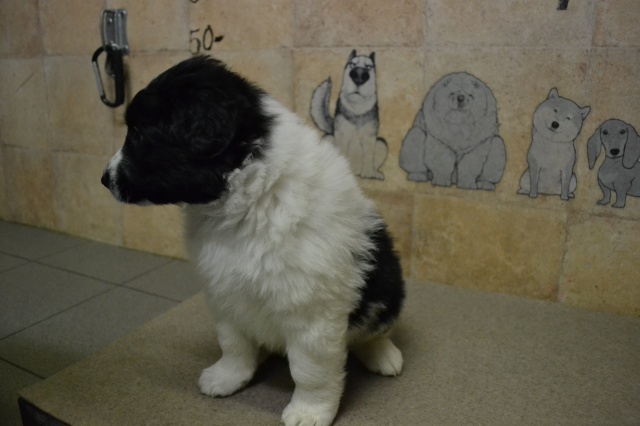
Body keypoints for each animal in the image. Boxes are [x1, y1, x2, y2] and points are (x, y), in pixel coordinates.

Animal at [310, 50, 387, 180]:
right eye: (352, 64)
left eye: (369, 67)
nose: (359, 75)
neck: (357, 109)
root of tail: (356, 172)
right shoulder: (342, 137)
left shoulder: (370, 138)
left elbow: (368, 157)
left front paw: (368, 174)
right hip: (328, 139)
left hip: (382, 144)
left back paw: (374, 174)